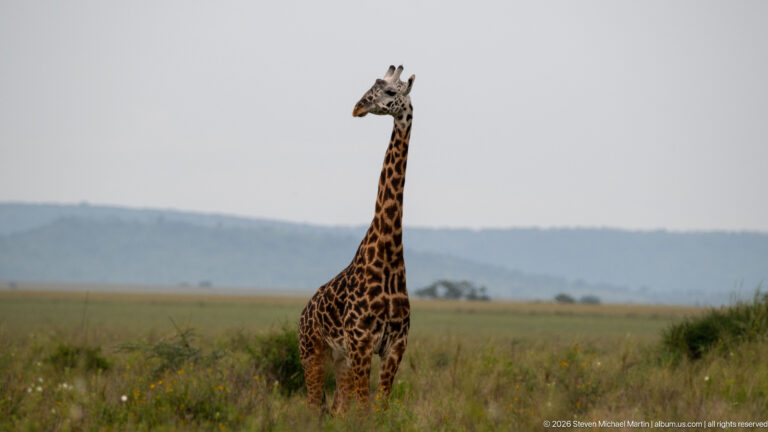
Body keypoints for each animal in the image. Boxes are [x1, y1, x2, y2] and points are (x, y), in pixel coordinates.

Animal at [298, 65, 415, 413]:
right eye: (370, 87)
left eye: (390, 92)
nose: (358, 107)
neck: (389, 253)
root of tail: (303, 313)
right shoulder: (361, 342)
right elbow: (364, 412)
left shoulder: (395, 345)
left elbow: (378, 409)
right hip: (313, 353)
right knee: (313, 408)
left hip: (341, 360)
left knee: (336, 409)